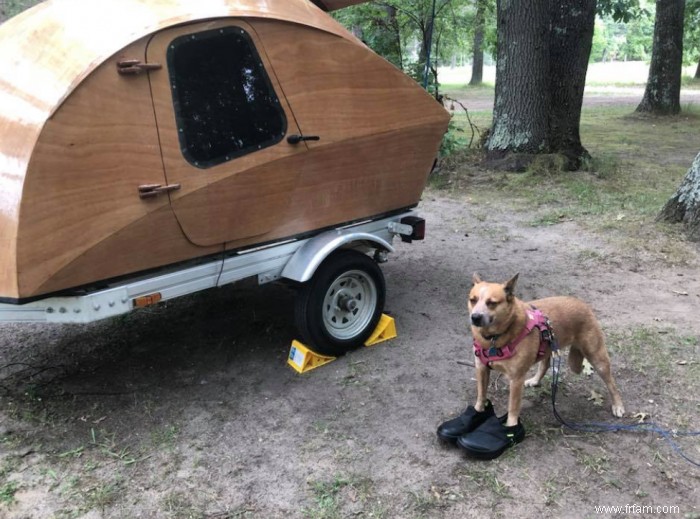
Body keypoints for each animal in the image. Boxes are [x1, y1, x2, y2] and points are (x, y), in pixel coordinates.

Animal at [468, 274, 628, 428]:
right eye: (473, 300)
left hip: (597, 358)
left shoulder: (516, 379)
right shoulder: (481, 369)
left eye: (492, 303)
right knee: (545, 365)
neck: (493, 339)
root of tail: (581, 303)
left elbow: (513, 408)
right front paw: (476, 413)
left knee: (611, 383)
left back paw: (618, 405)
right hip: (547, 344)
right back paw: (535, 380)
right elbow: (481, 396)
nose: (475, 317)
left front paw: (511, 425)